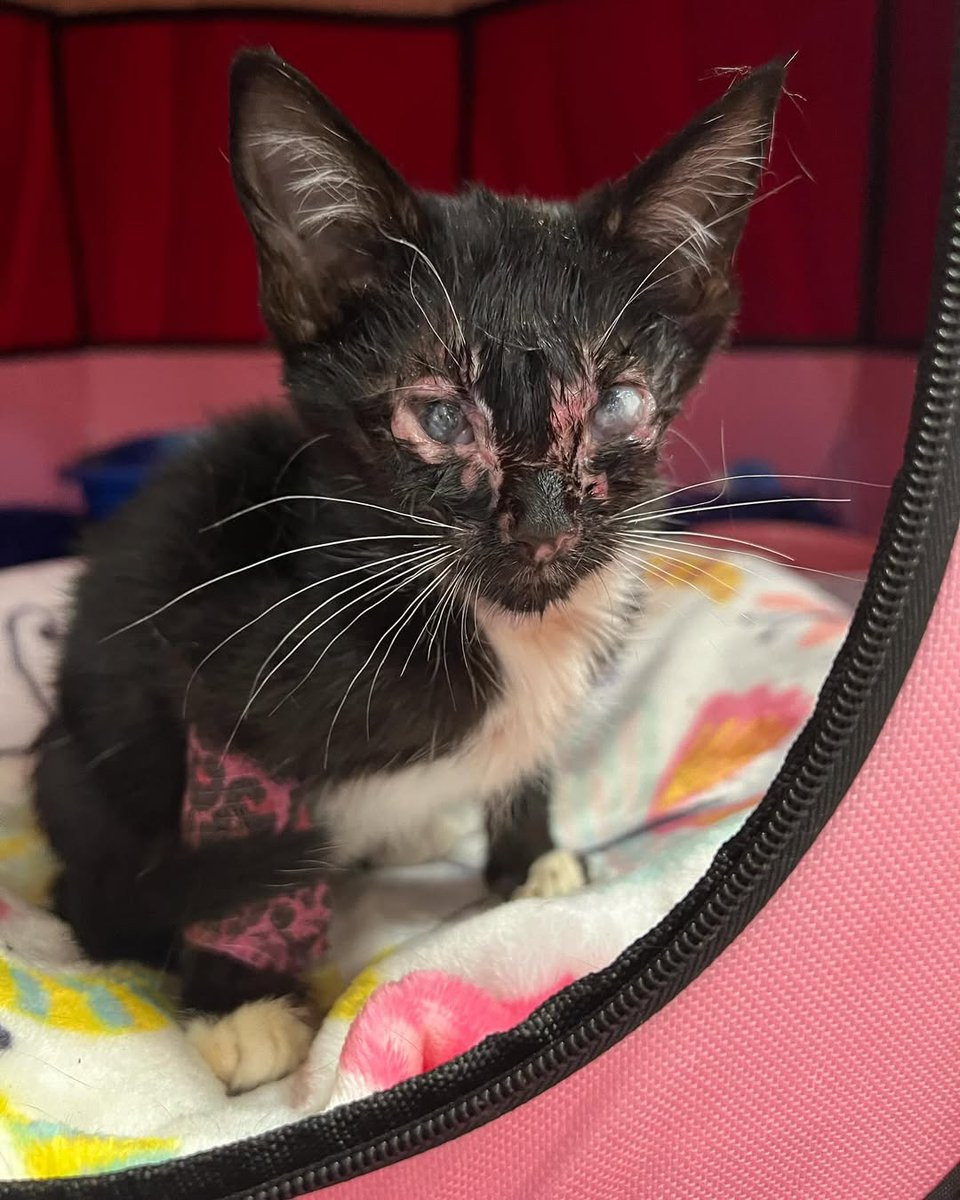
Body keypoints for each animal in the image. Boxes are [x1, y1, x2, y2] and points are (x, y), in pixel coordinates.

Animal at [33, 49, 782, 1093]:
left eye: (619, 405)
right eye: (438, 418)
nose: (543, 525)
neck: (496, 628)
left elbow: (530, 763)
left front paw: (533, 871)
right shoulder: (223, 669)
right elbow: (238, 820)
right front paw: (241, 1008)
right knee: (97, 891)